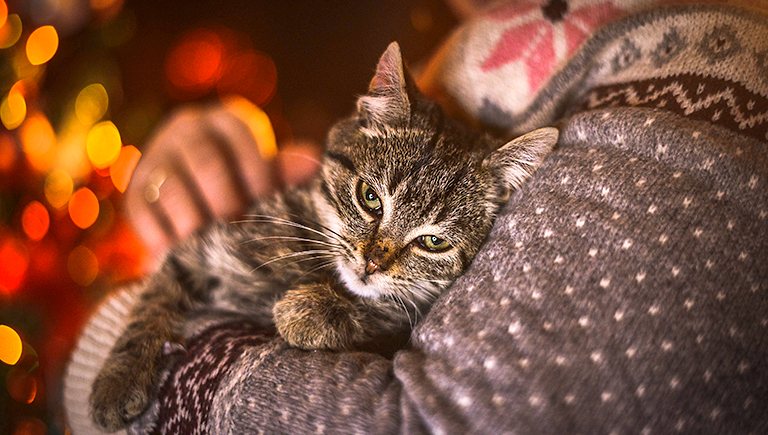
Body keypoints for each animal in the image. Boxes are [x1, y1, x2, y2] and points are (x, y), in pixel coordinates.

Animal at [90, 42, 560, 430]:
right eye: (370, 198)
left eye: (434, 242)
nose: (372, 261)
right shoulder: (199, 250)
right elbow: (152, 301)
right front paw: (118, 379)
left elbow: (387, 309)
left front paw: (309, 311)